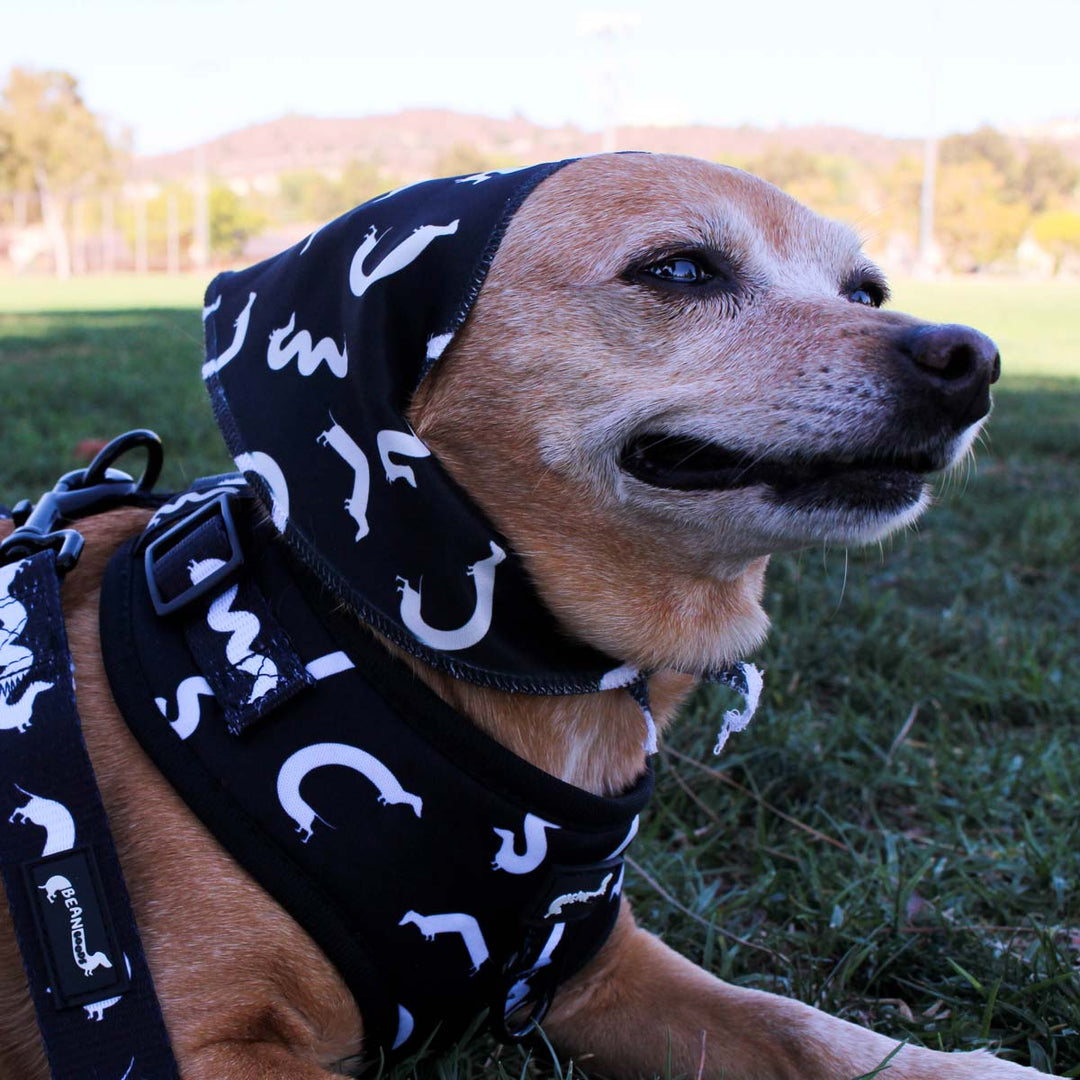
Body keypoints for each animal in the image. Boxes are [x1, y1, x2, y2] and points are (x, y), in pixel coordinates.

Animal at [0, 154, 1049, 1080]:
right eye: (680, 270)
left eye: (866, 292)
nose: (973, 359)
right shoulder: (190, 1046)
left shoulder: (598, 972)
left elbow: (800, 1028)